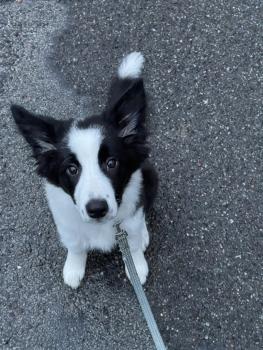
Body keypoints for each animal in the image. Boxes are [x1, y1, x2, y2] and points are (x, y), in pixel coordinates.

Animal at [10, 52, 159, 288]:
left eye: (111, 163)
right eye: (71, 169)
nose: (97, 209)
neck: (102, 226)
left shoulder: (129, 216)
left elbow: (133, 241)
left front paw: (137, 266)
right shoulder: (67, 223)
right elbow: (75, 246)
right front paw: (73, 268)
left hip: (150, 178)